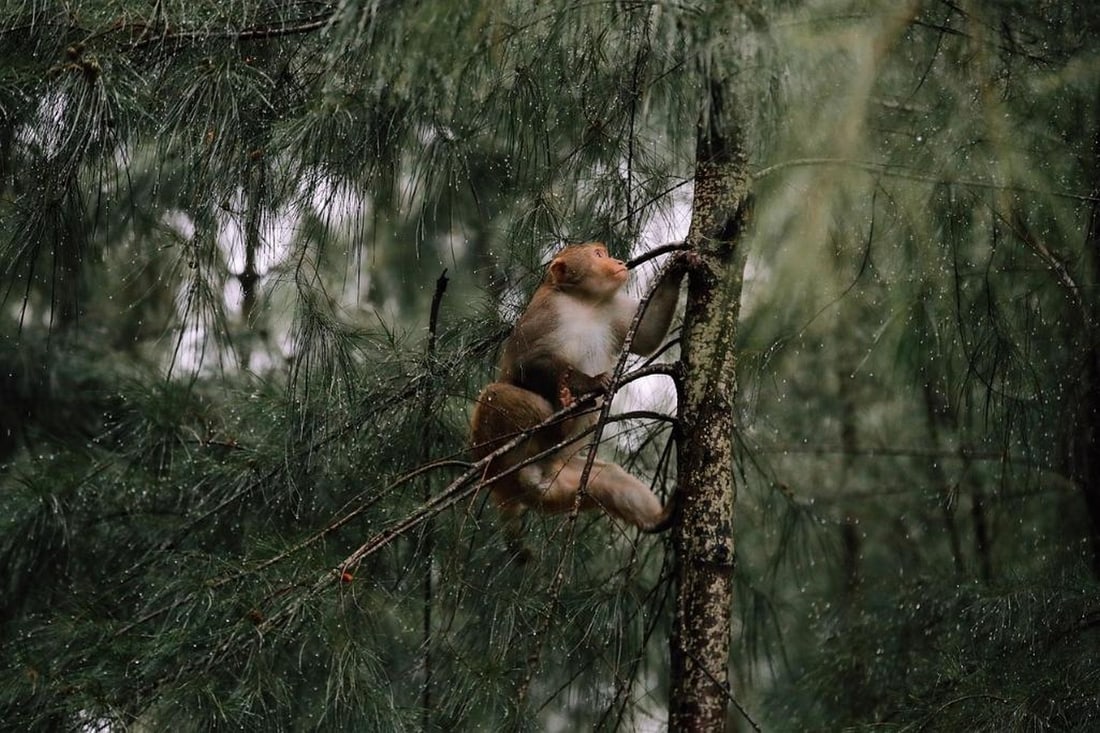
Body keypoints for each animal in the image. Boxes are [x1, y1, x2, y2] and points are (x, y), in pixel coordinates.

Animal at [470, 242, 692, 555]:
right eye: (598, 255)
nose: (617, 261)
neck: (586, 303)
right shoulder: (546, 312)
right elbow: (527, 363)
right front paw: (590, 383)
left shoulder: (611, 308)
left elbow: (646, 335)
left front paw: (675, 268)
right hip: (500, 453)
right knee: (496, 394)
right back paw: (561, 419)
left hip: (561, 478)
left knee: (607, 480)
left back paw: (660, 517)